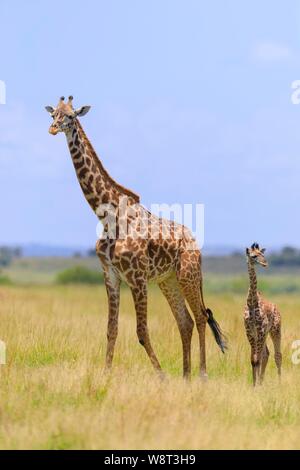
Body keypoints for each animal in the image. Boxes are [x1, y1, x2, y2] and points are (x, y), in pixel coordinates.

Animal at [45, 95, 226, 378]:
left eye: (72, 116)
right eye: (54, 114)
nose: (53, 128)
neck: (108, 216)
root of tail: (195, 242)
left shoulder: (137, 278)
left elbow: (141, 331)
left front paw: (161, 376)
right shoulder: (111, 275)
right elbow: (111, 329)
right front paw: (105, 375)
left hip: (188, 275)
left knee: (200, 317)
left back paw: (202, 375)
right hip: (168, 280)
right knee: (184, 321)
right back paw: (185, 376)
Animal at [244, 242, 282, 386]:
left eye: (262, 254)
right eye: (253, 256)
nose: (265, 263)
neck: (252, 303)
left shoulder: (260, 330)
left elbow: (257, 359)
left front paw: (256, 386)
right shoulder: (250, 331)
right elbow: (253, 360)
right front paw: (254, 385)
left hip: (275, 330)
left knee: (278, 355)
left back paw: (280, 383)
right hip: (264, 334)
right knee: (266, 354)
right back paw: (261, 381)